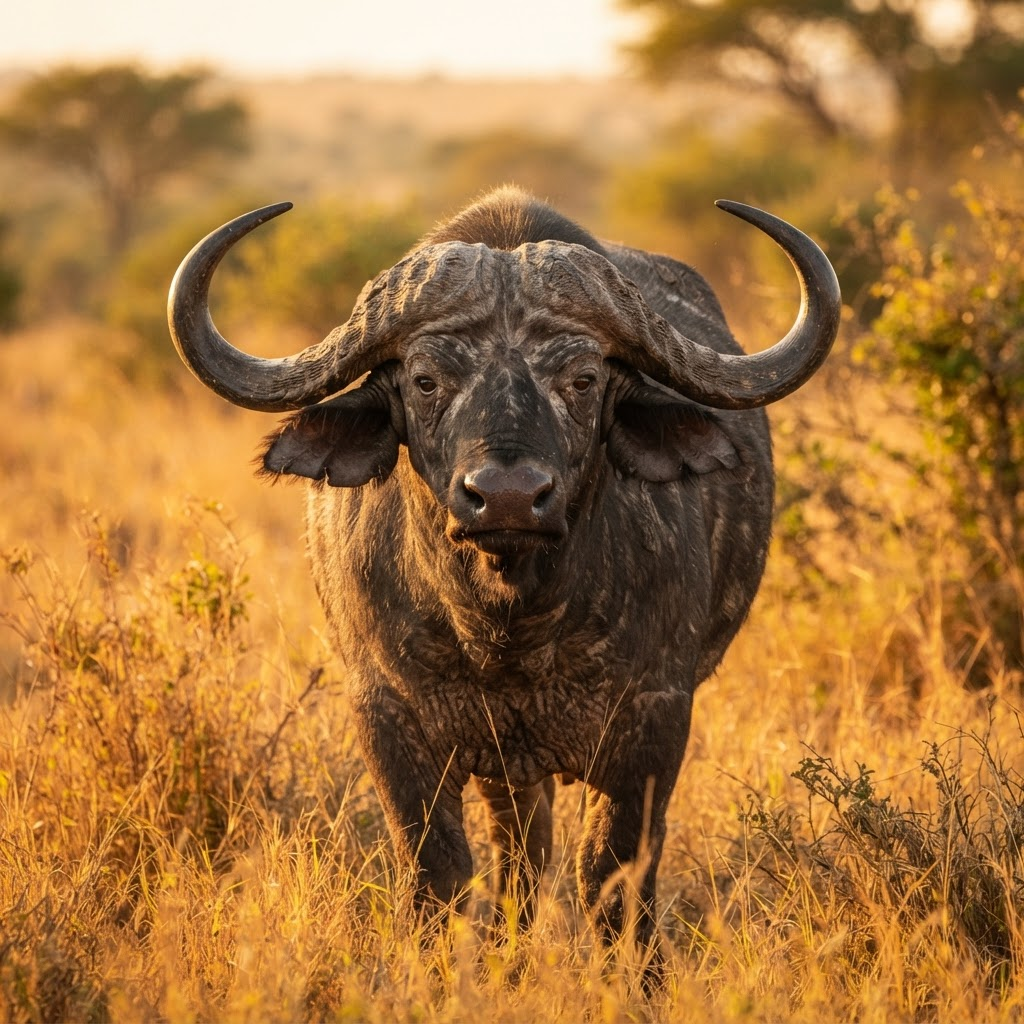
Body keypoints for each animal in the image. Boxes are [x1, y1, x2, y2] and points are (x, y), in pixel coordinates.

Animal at [167, 186, 839, 957]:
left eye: (583, 379)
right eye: (426, 379)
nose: (510, 496)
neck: (507, 624)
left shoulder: (656, 721)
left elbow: (613, 875)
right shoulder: (390, 721)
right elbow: (439, 873)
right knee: (519, 859)